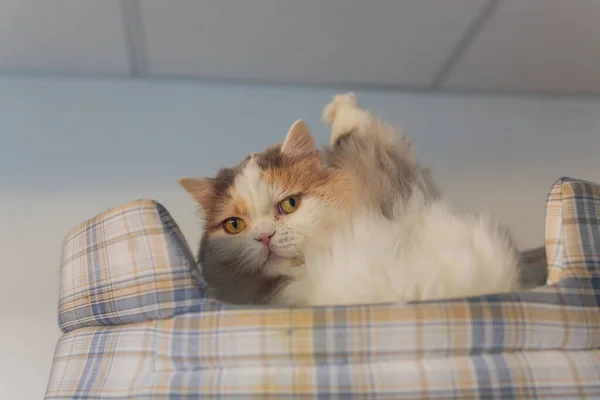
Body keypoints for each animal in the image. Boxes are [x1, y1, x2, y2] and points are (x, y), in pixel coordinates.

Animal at [180, 94, 524, 306]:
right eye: (234, 225)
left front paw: (340, 109)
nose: (265, 237)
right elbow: (371, 138)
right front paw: (342, 110)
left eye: (289, 205)